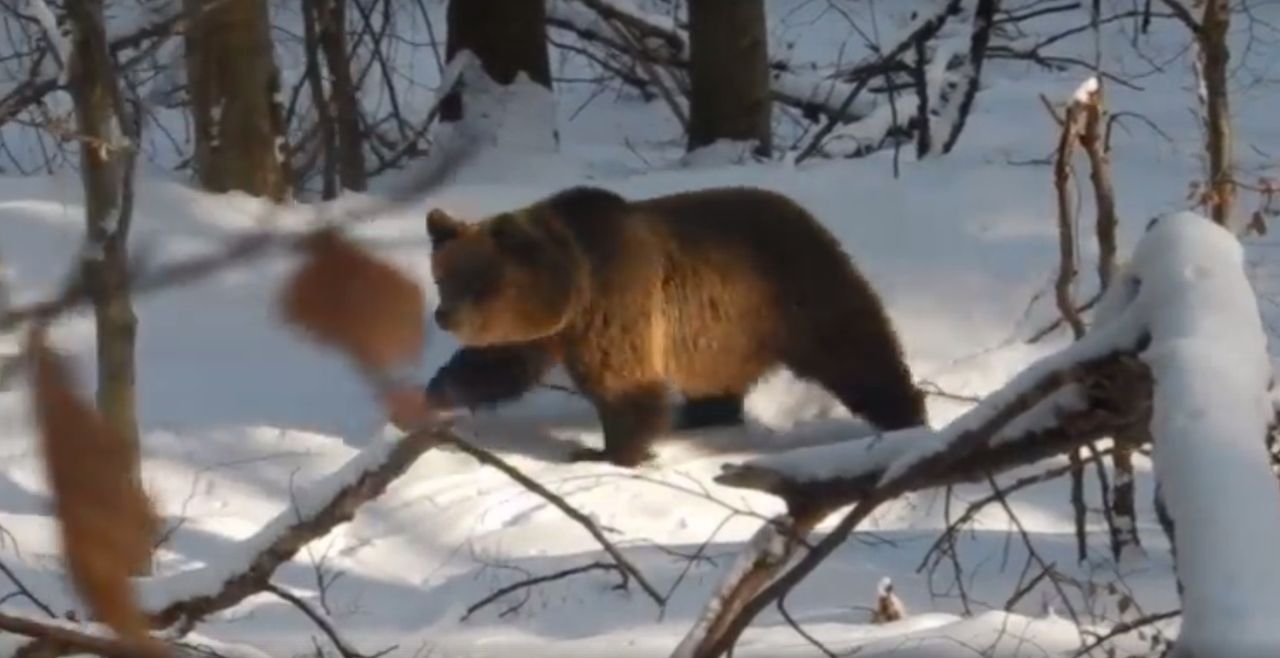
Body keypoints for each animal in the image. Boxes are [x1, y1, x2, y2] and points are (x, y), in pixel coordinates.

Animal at [419, 183, 931, 465]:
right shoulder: (546, 330)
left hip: (795, 292)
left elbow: (622, 383)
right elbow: (498, 364)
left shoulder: (615, 303)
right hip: (725, 334)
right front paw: (434, 394)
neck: (575, 286)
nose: (443, 315)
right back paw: (698, 416)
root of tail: (803, 212)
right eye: (442, 276)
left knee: (856, 352)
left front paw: (605, 452)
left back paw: (906, 418)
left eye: (477, 281)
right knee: (718, 382)